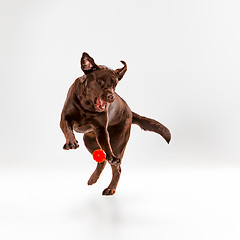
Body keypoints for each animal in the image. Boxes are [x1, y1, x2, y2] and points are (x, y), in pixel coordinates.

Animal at [60, 52, 171, 195]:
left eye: (114, 84)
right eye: (100, 81)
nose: (111, 97)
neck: (86, 106)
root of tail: (130, 112)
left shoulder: (102, 131)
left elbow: (107, 148)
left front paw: (110, 155)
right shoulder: (64, 118)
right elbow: (68, 130)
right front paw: (71, 142)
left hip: (118, 143)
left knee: (116, 168)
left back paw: (110, 188)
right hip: (89, 141)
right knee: (102, 161)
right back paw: (93, 179)